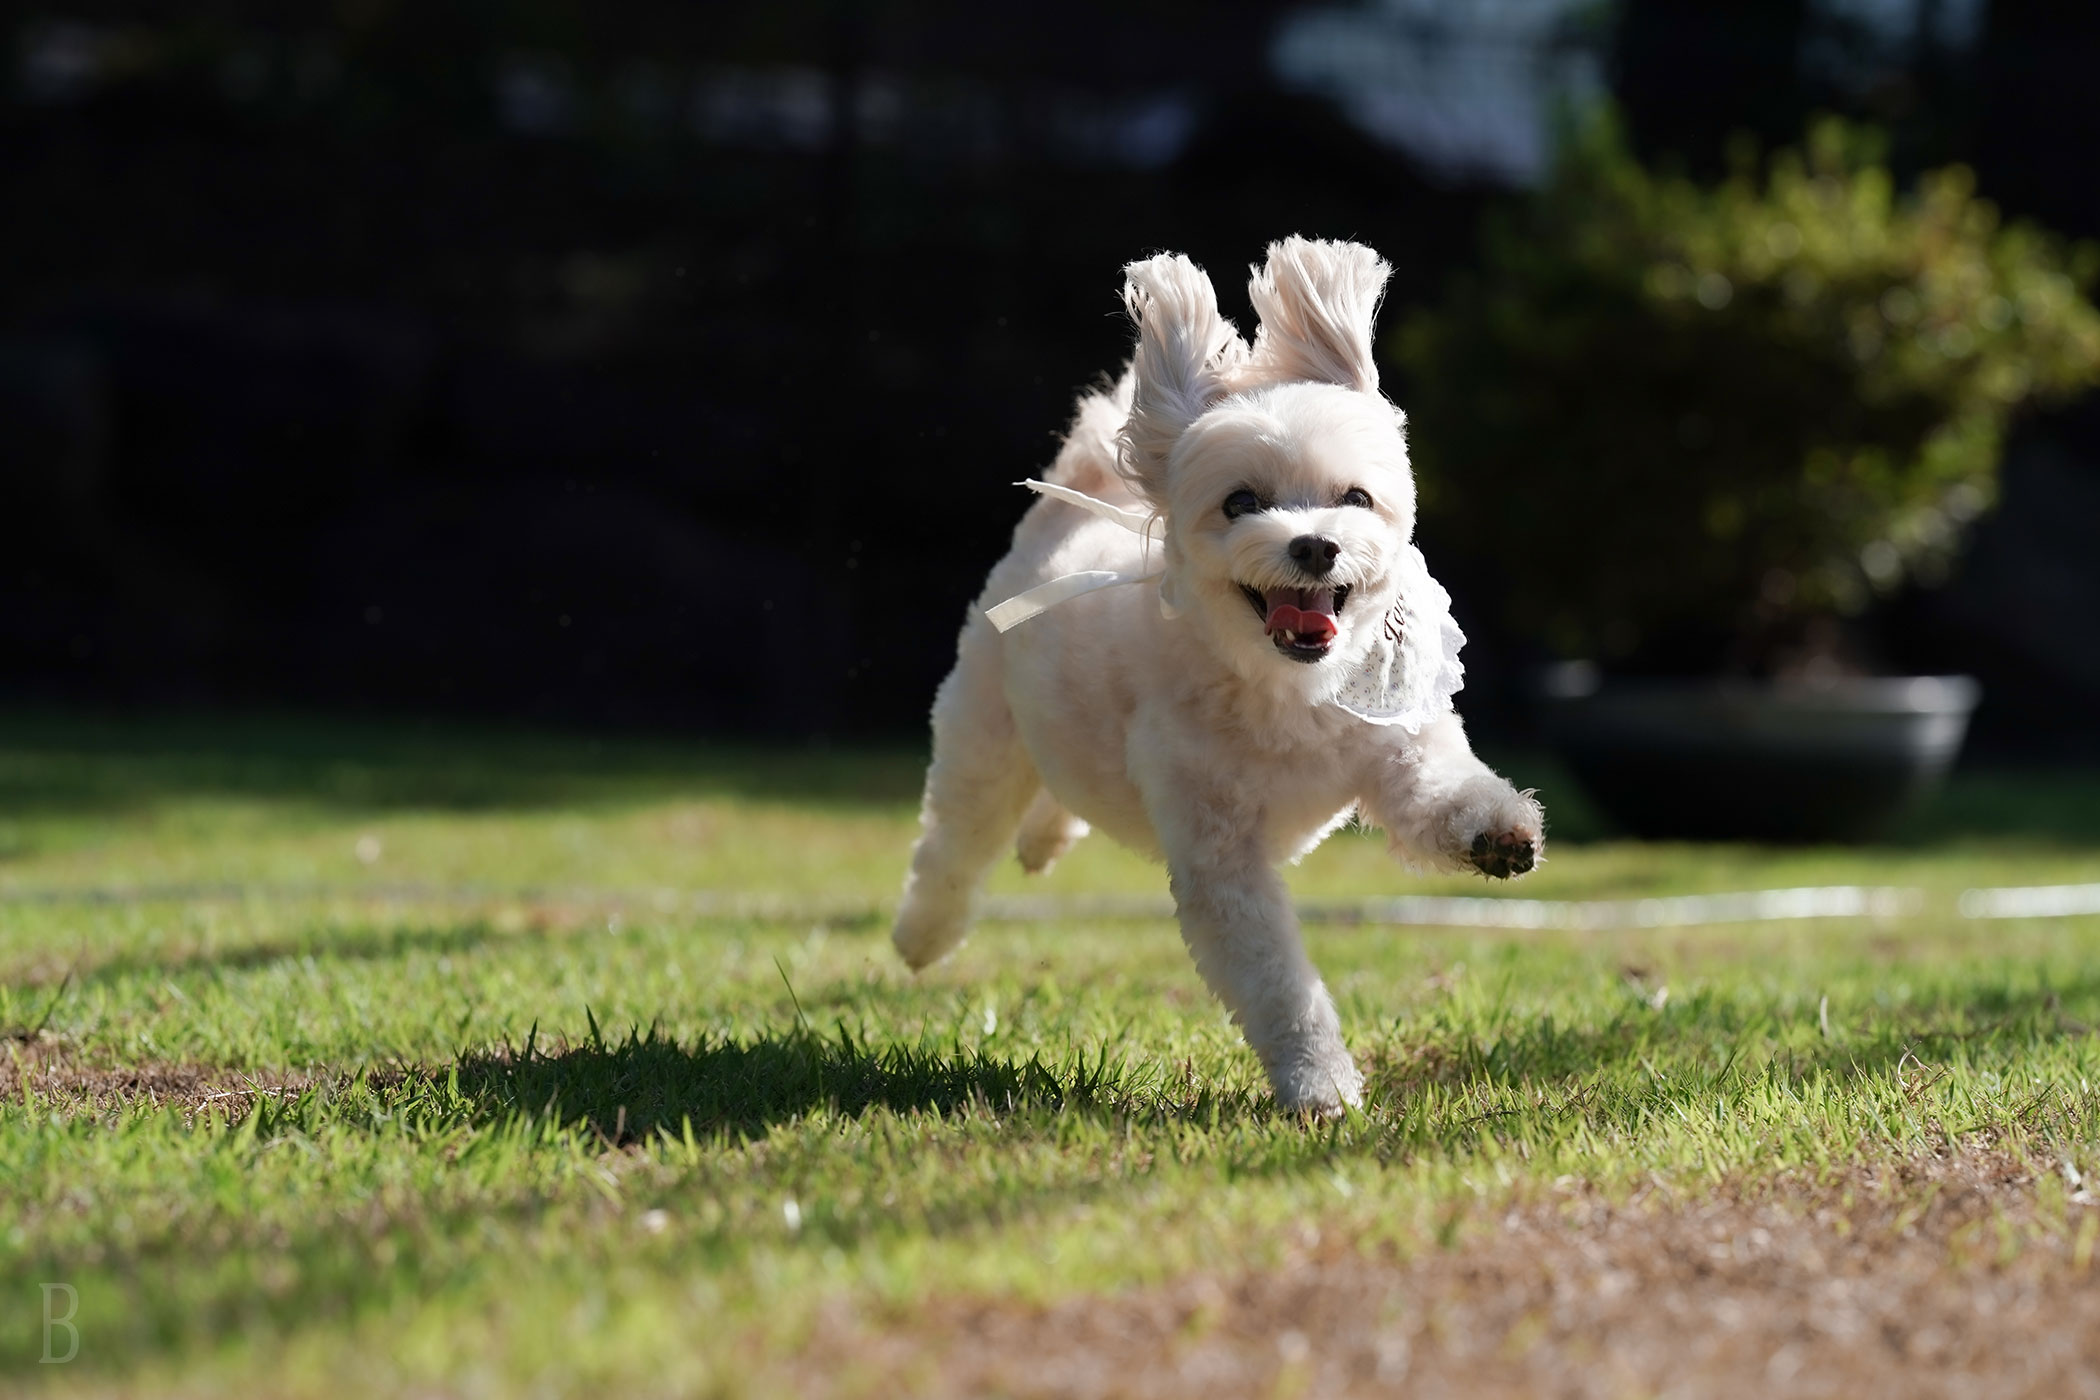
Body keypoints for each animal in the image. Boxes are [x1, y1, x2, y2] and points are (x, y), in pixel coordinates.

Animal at [886, 241, 1545, 1116]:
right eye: (1241, 503)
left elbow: (1439, 796)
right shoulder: (1222, 857)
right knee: (957, 840)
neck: (1284, 693)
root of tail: (1081, 503)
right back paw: (923, 935)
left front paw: (1498, 833)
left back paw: (1045, 841)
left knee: (1055, 798)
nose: (1314, 545)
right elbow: (1277, 982)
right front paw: (1318, 1084)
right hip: (985, 733)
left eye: (1355, 497)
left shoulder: (1396, 743)